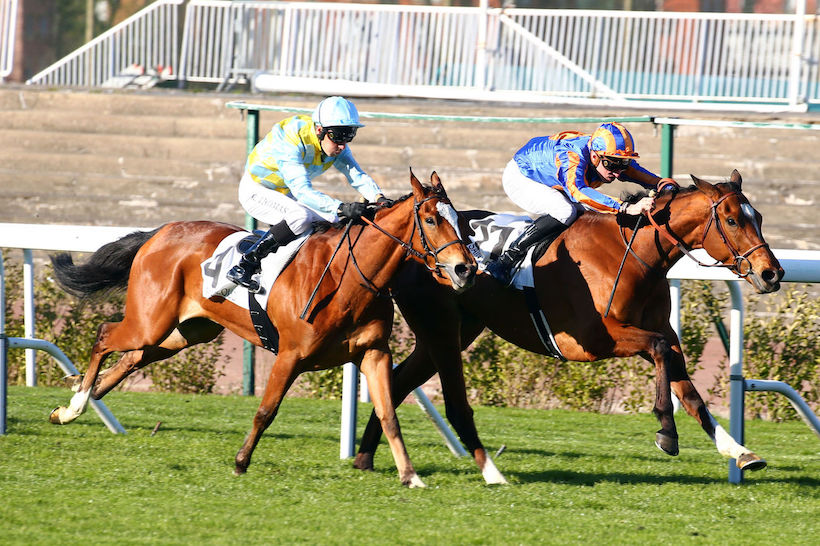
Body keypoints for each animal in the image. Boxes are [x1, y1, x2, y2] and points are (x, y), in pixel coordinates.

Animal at [47, 171, 477, 487]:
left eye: (462, 221)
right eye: (431, 219)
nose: (465, 269)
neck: (348, 277)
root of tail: (160, 232)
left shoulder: (374, 353)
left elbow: (389, 415)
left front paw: (410, 476)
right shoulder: (290, 355)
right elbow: (266, 411)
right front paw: (240, 461)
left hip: (186, 331)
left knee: (133, 357)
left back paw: (72, 406)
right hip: (150, 321)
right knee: (105, 335)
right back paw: (77, 402)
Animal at [354, 171, 784, 483]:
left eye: (760, 218)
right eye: (732, 220)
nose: (772, 273)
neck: (630, 254)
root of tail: (409, 249)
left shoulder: (660, 331)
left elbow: (689, 390)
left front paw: (741, 453)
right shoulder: (596, 339)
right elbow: (661, 353)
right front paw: (666, 432)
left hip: (453, 333)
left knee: (397, 381)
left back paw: (365, 457)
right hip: (440, 329)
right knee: (403, 381)